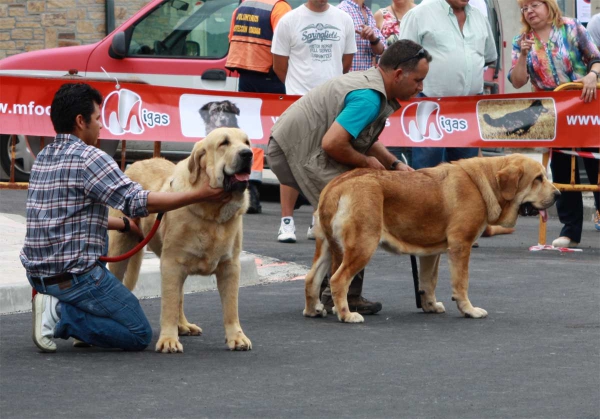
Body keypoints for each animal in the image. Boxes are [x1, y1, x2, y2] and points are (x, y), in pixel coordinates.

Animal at [109, 128, 252, 354]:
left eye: (246, 142)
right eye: (224, 143)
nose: (248, 154)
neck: (212, 214)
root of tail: (135, 163)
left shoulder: (230, 267)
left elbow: (231, 307)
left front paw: (236, 337)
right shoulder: (170, 264)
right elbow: (168, 305)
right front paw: (168, 340)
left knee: (180, 297)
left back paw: (183, 325)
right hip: (120, 249)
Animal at [304, 155, 564, 324]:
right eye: (538, 179)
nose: (559, 194)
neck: (487, 183)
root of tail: (337, 185)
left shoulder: (430, 252)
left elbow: (428, 282)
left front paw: (430, 306)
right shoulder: (461, 245)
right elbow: (461, 282)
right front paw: (469, 310)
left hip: (326, 247)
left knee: (311, 279)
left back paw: (314, 310)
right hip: (363, 245)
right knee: (338, 280)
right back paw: (346, 315)